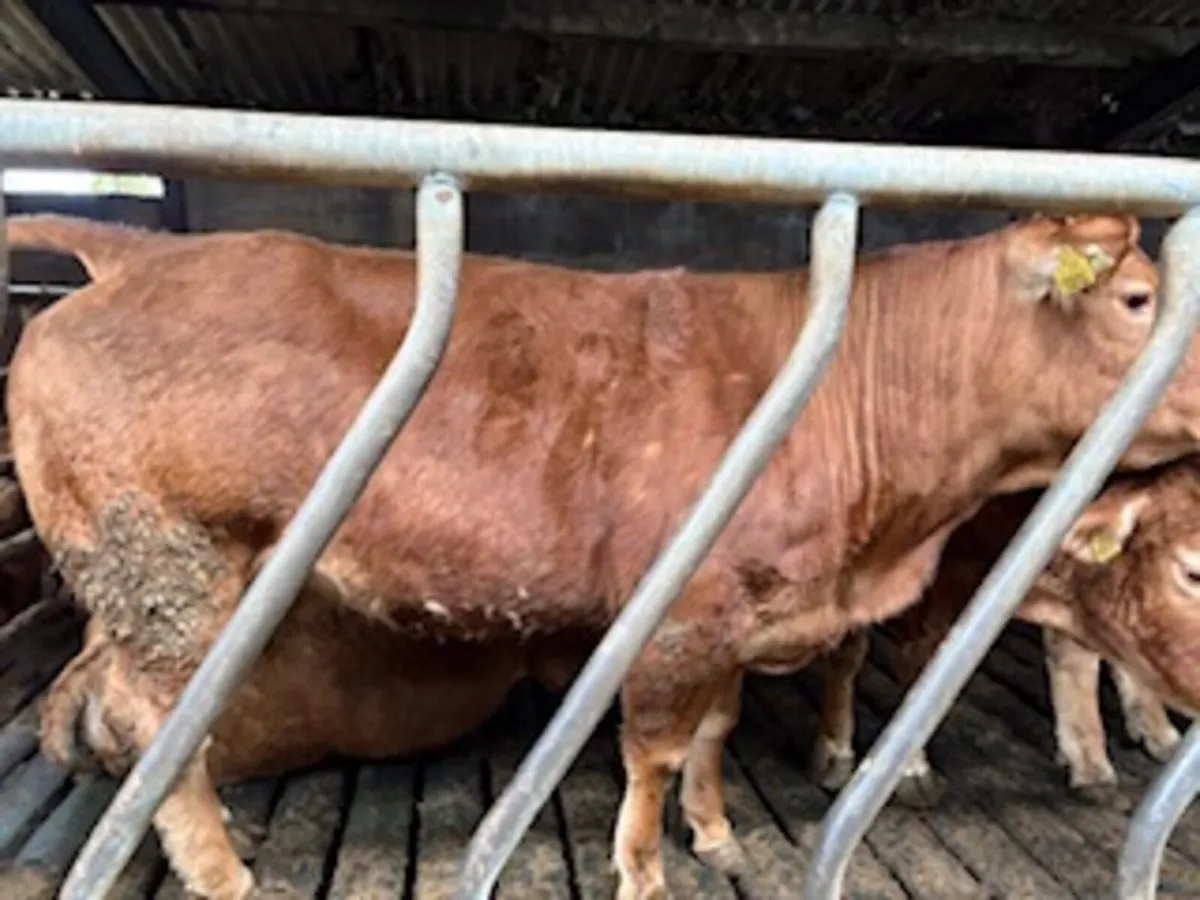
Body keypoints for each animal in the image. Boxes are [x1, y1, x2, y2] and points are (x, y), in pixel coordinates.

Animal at [812, 465, 1197, 811]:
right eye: (1192, 573)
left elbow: (1081, 652)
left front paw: (1096, 763)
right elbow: (913, 667)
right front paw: (910, 771)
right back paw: (836, 751)